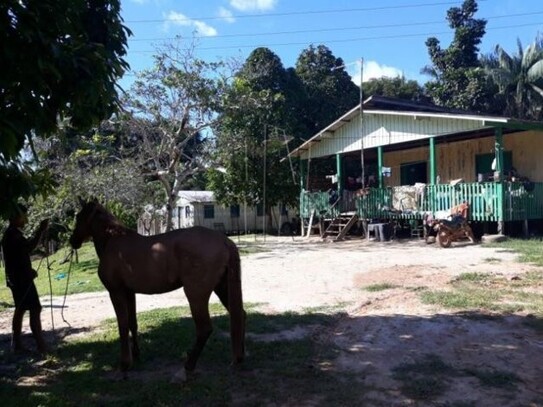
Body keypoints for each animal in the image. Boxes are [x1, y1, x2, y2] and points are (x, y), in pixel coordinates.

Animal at [69, 199, 245, 374]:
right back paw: (239, 358)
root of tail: (224, 240)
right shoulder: (129, 292)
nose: (72, 241)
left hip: (196, 295)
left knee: (204, 329)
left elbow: (123, 326)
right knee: (239, 315)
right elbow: (132, 323)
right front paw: (136, 355)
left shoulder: (116, 292)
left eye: (78, 217)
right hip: (222, 288)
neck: (113, 241)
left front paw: (125, 363)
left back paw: (189, 365)